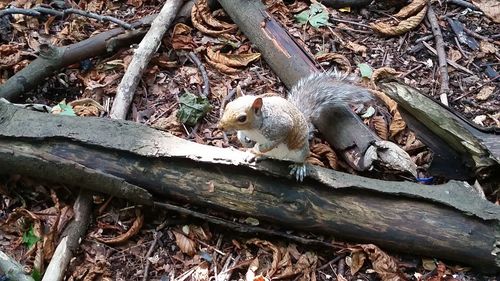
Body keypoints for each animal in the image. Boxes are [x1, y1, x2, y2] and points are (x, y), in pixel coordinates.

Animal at [218, 70, 372, 179]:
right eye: (228, 106)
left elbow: (279, 137)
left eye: (242, 118)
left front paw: (260, 147)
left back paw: (298, 166)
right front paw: (246, 143)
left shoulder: (280, 125)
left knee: (302, 158)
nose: (221, 127)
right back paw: (257, 155)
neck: (253, 128)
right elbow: (241, 134)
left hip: (300, 151)